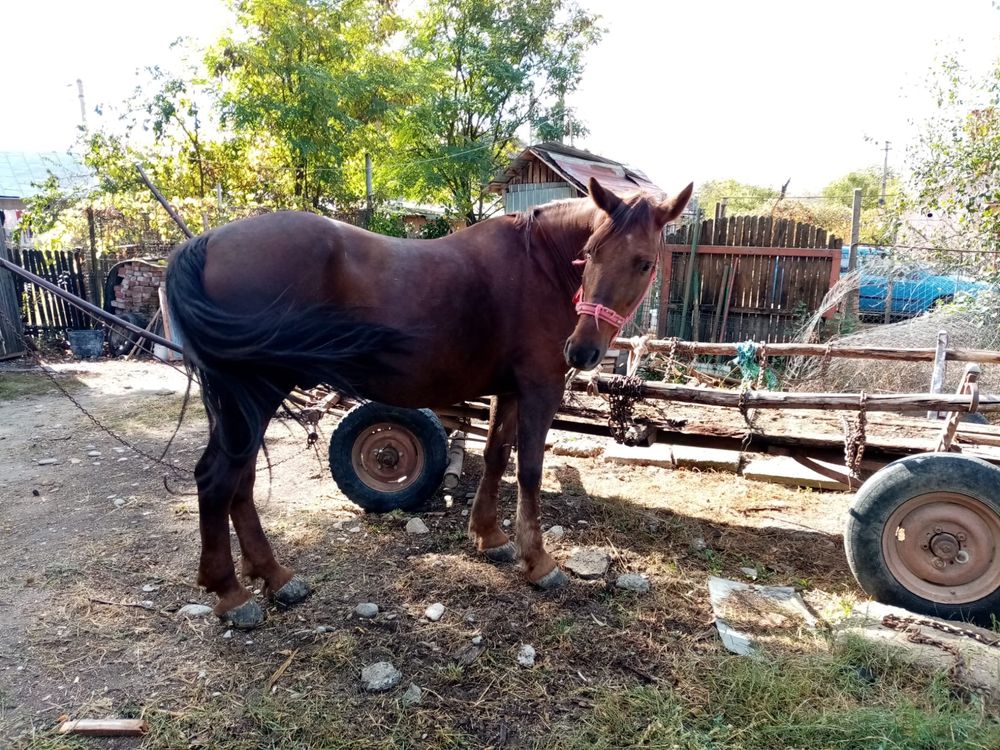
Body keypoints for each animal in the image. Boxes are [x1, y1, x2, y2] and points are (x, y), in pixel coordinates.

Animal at [168, 178, 692, 628]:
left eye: (643, 262)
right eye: (590, 254)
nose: (581, 351)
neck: (537, 264)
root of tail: (207, 243)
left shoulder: (509, 389)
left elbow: (496, 455)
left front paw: (490, 536)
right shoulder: (539, 387)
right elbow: (529, 470)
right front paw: (538, 561)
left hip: (244, 402)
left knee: (240, 480)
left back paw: (274, 577)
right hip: (255, 393)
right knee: (219, 478)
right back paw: (231, 592)